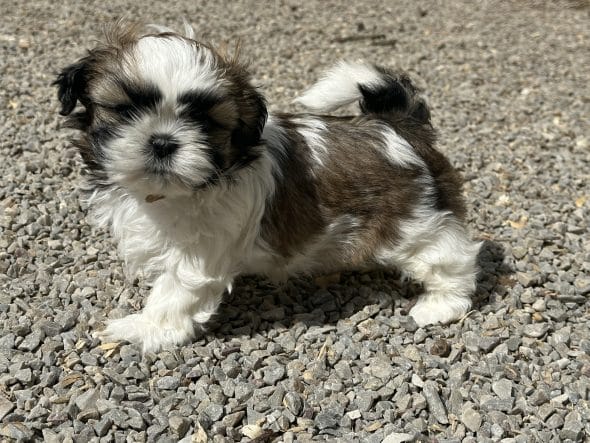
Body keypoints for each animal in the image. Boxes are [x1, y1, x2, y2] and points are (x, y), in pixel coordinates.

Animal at [54, 22, 480, 352]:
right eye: (127, 110)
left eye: (205, 122)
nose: (162, 141)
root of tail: (398, 126)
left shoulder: (201, 250)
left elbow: (175, 290)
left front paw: (146, 328)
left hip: (413, 223)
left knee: (449, 255)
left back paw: (442, 304)